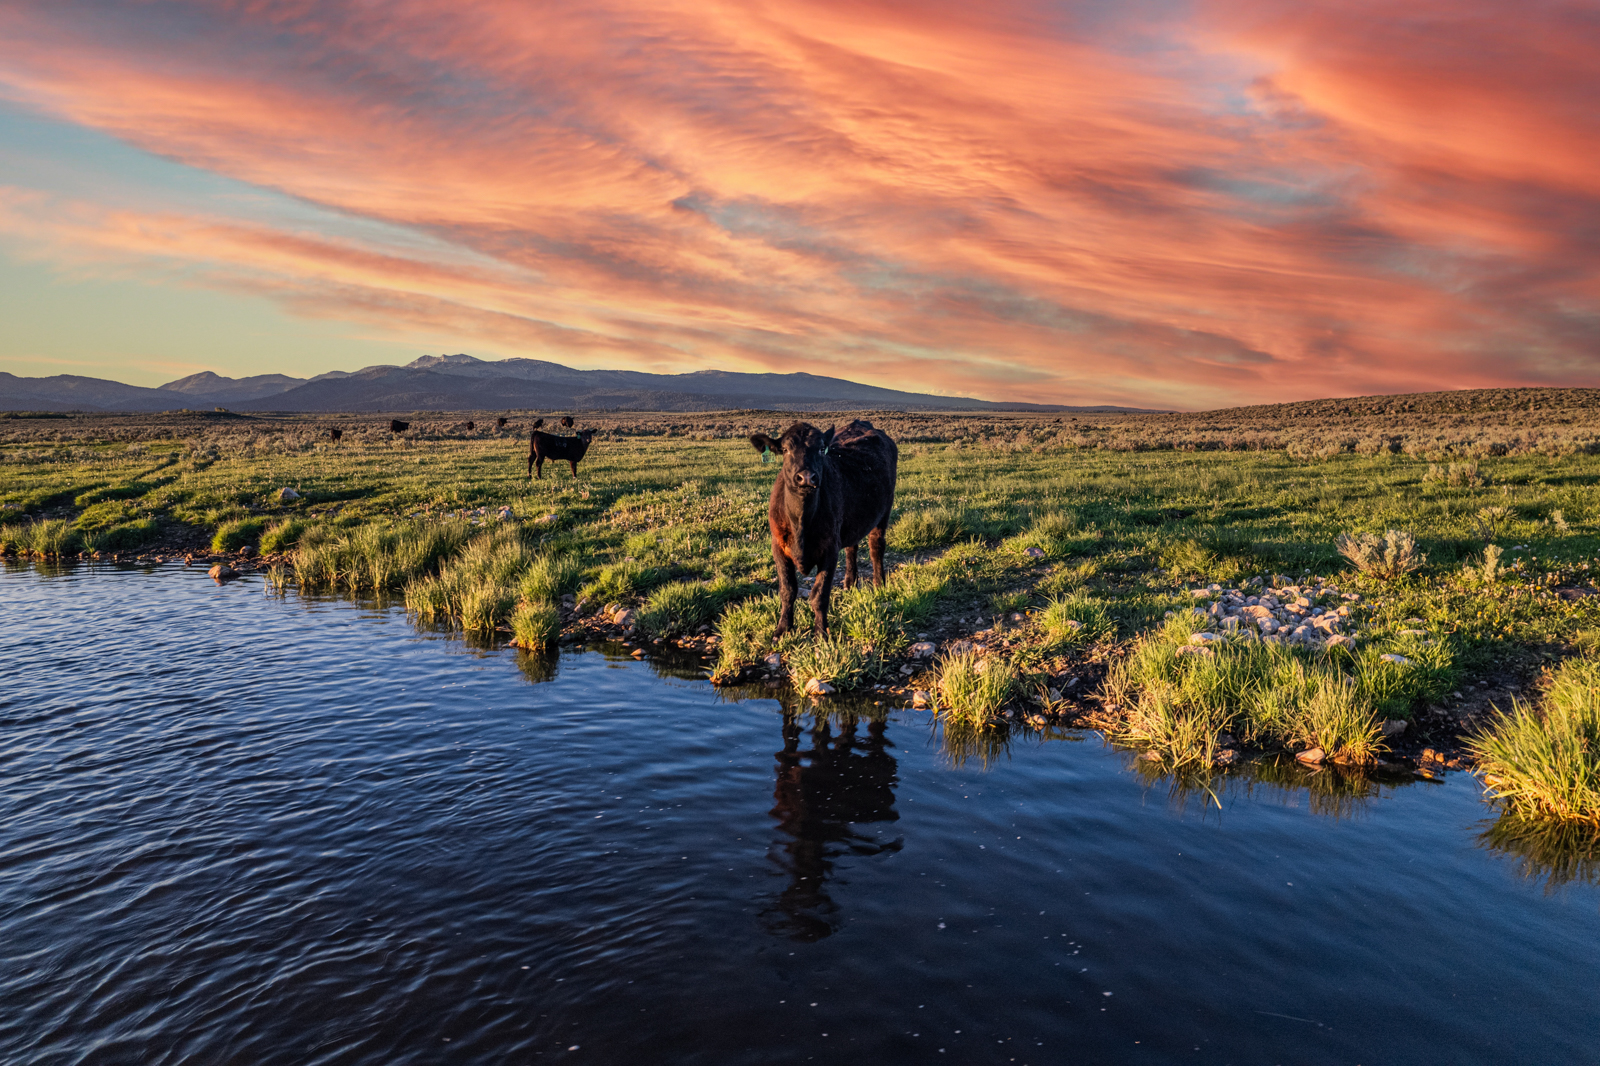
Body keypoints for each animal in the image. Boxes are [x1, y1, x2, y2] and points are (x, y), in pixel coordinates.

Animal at [749, 420, 897, 637]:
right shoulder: (778, 548)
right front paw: (782, 629)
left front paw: (821, 632)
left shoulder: (829, 550)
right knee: (852, 547)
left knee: (876, 547)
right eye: (785, 449)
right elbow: (787, 590)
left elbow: (819, 594)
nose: (806, 477)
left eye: (820, 449)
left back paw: (879, 584)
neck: (801, 523)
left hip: (884, 512)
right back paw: (849, 584)